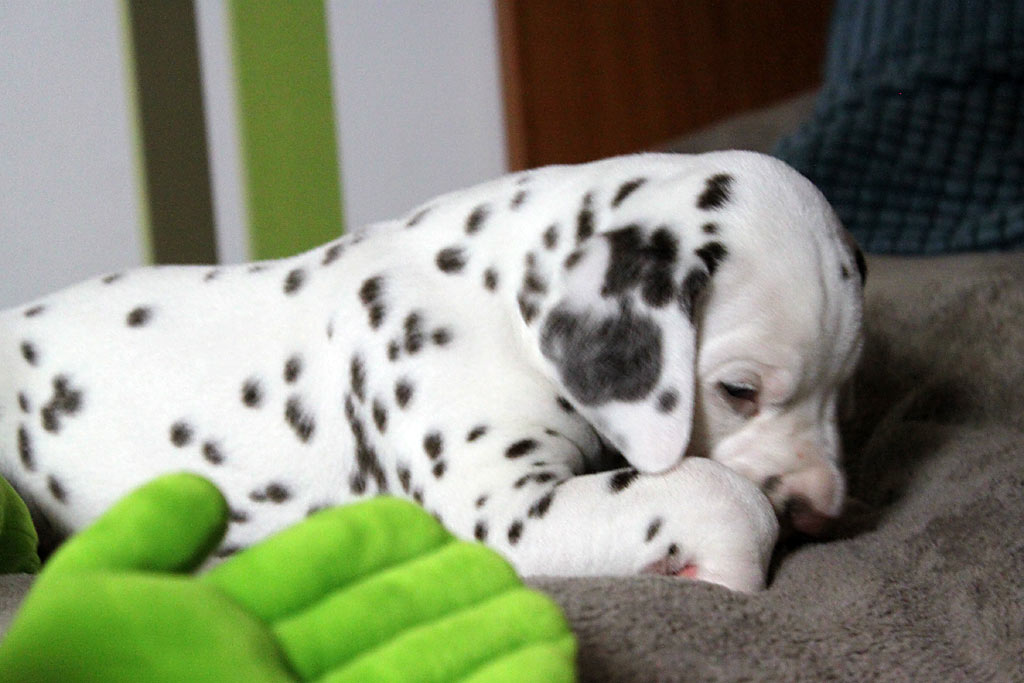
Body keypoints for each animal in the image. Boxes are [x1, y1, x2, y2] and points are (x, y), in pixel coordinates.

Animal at [0, 151, 864, 591]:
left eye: (846, 388)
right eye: (738, 390)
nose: (822, 513)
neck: (490, 298)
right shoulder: (499, 511)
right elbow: (715, 491)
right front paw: (723, 556)